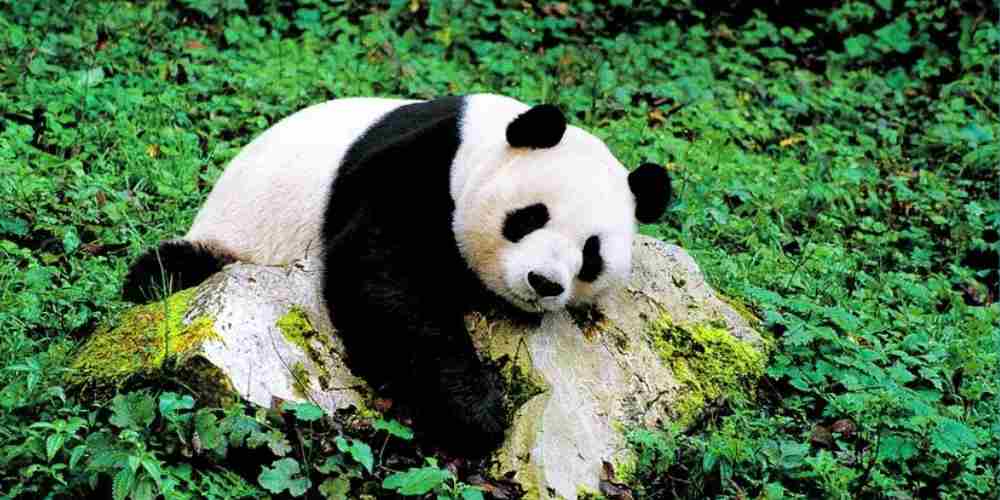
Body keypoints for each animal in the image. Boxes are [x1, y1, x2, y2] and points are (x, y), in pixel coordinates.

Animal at [123, 94, 671, 455]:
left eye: (591, 254)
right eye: (529, 217)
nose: (544, 282)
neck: (479, 143)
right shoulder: (418, 164)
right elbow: (383, 277)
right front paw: (478, 411)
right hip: (232, 237)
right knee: (167, 271)